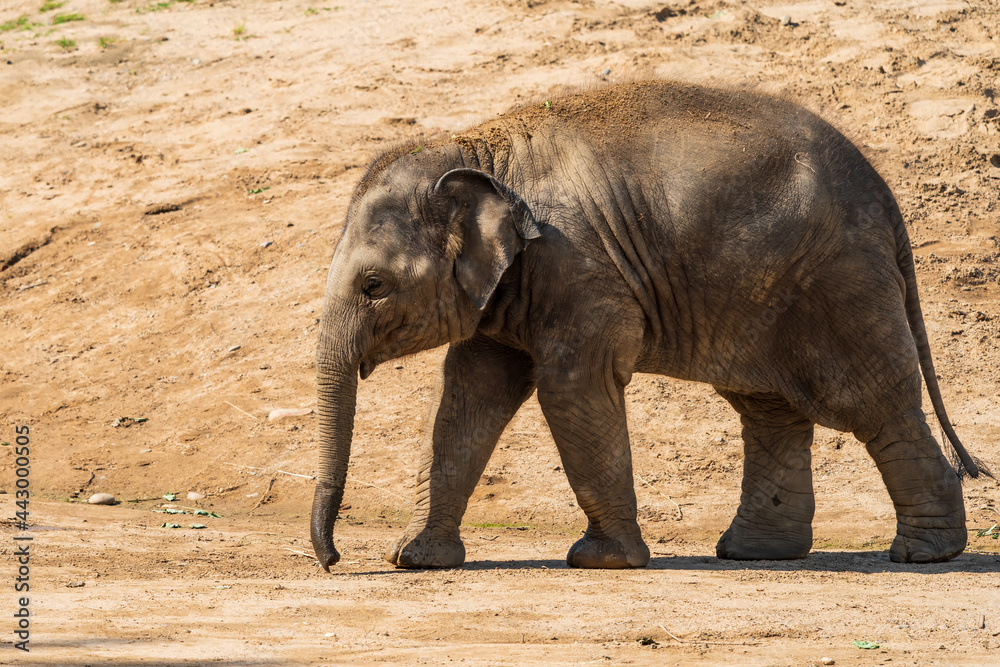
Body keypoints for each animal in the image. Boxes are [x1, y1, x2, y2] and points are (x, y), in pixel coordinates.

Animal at [310, 78, 976, 568]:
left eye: (374, 286)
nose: (334, 559)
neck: (477, 151)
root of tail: (885, 196)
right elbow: (468, 398)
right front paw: (415, 560)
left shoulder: (578, 267)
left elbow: (571, 389)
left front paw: (600, 561)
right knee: (770, 409)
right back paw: (754, 553)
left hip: (840, 283)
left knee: (872, 403)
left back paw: (924, 555)